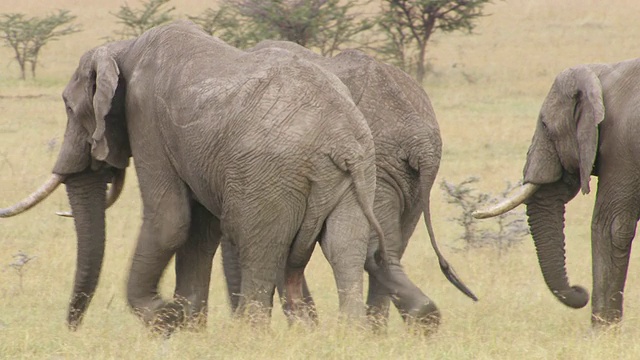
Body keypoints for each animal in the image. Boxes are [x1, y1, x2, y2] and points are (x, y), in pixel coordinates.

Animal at [1, 21, 390, 332]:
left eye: (69, 107)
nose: (72, 329)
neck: (123, 48)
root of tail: (340, 138)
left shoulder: (146, 118)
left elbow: (170, 221)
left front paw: (167, 318)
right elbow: (200, 232)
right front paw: (190, 328)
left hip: (270, 179)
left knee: (259, 248)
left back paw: (249, 338)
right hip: (356, 177)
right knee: (344, 248)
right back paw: (347, 334)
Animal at [218, 40, 478, 334]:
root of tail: (418, 136)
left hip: (378, 164)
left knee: (375, 251)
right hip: (409, 178)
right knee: (388, 250)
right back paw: (396, 327)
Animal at [472, 59, 640, 330]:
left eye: (545, 126)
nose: (580, 290)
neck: (602, 72)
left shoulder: (622, 145)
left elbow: (611, 228)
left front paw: (601, 332)